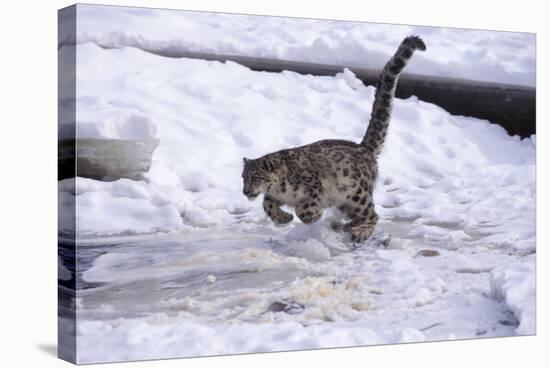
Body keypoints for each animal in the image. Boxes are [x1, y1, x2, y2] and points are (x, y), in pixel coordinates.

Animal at [242, 34, 426, 242]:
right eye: (243, 177)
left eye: (256, 176)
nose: (245, 191)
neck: (281, 190)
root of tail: (364, 148)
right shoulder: (273, 196)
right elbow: (267, 204)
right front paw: (283, 218)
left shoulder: (313, 188)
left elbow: (304, 207)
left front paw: (312, 215)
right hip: (347, 201)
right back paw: (346, 225)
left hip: (358, 194)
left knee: (372, 214)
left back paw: (360, 231)